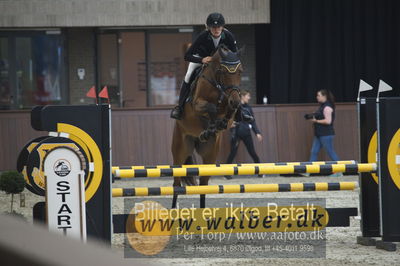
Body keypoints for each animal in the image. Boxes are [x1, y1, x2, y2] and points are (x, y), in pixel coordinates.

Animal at [170, 44, 242, 209]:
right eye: (223, 71)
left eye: (240, 71)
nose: (236, 101)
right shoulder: (197, 104)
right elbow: (211, 108)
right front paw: (211, 126)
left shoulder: (230, 106)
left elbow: (227, 114)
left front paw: (216, 126)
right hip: (180, 152)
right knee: (176, 184)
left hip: (210, 154)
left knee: (203, 184)